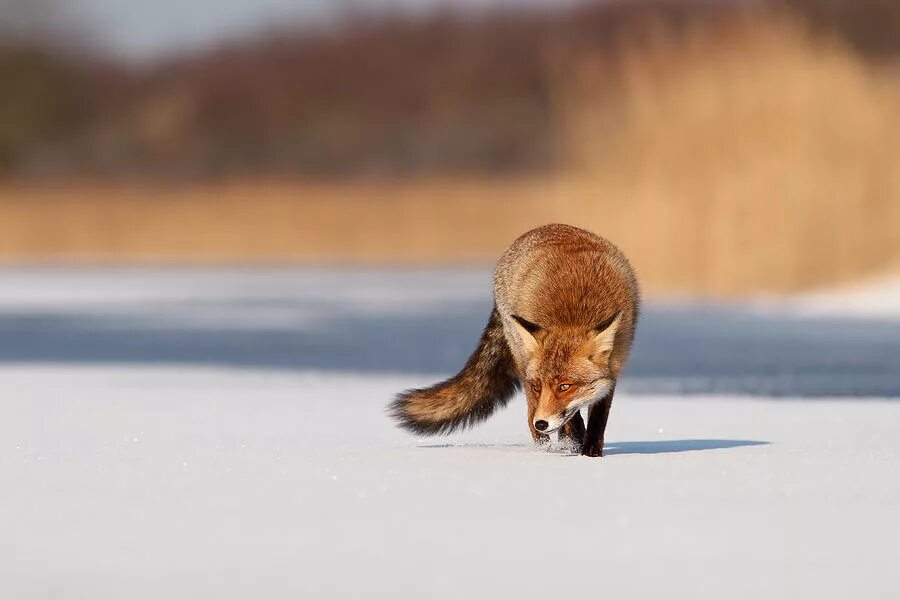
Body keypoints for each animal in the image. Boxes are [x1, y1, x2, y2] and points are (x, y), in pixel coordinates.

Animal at [388, 223, 640, 458]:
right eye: (538, 386)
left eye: (565, 386)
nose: (542, 423)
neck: (574, 315)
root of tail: (541, 228)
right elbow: (572, 419)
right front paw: (576, 446)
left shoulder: (614, 369)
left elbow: (597, 422)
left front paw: (591, 455)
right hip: (521, 362)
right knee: (531, 419)